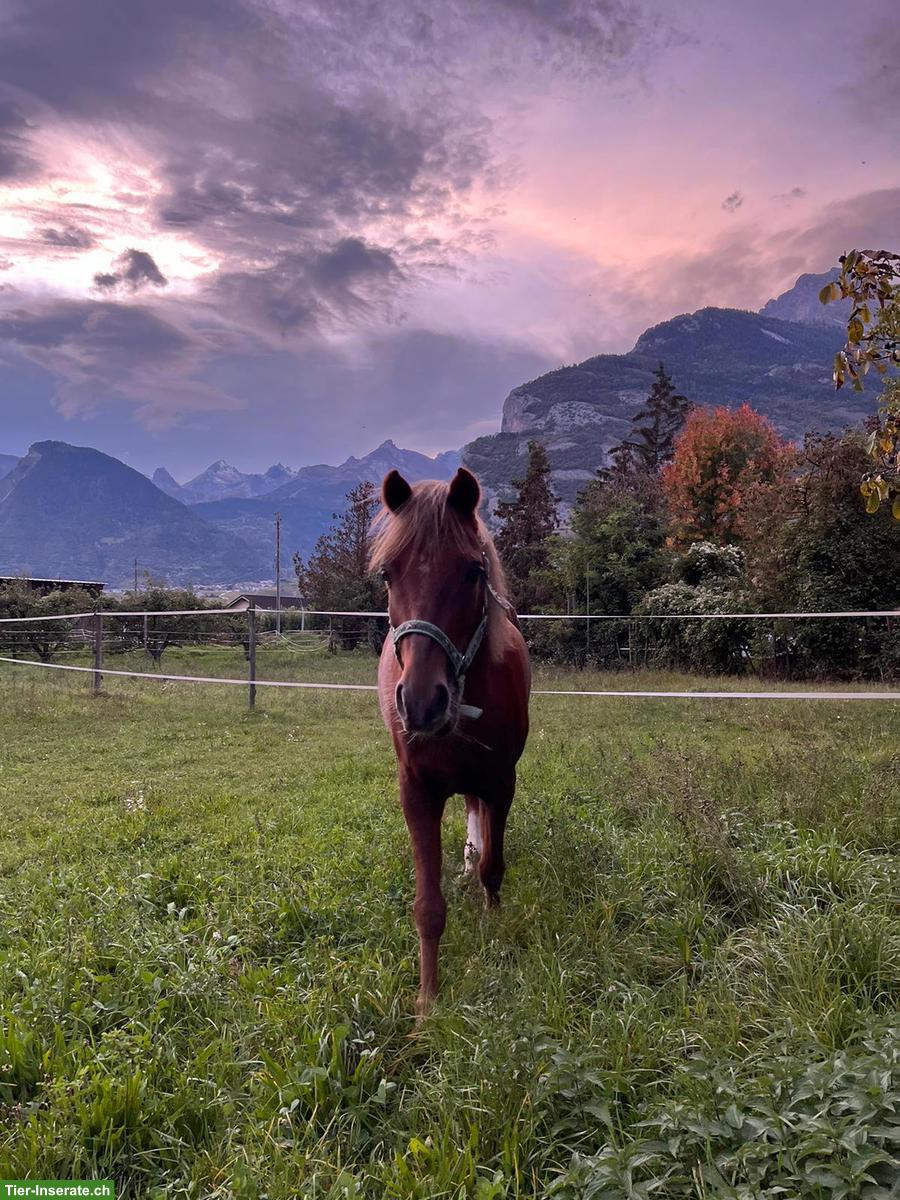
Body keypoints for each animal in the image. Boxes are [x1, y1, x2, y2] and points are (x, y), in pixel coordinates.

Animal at [370, 466, 531, 1015]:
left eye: (472, 572)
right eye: (388, 574)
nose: (422, 702)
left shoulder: (501, 782)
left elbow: (494, 868)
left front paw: (495, 928)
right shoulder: (416, 790)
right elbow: (427, 906)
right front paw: (426, 1003)